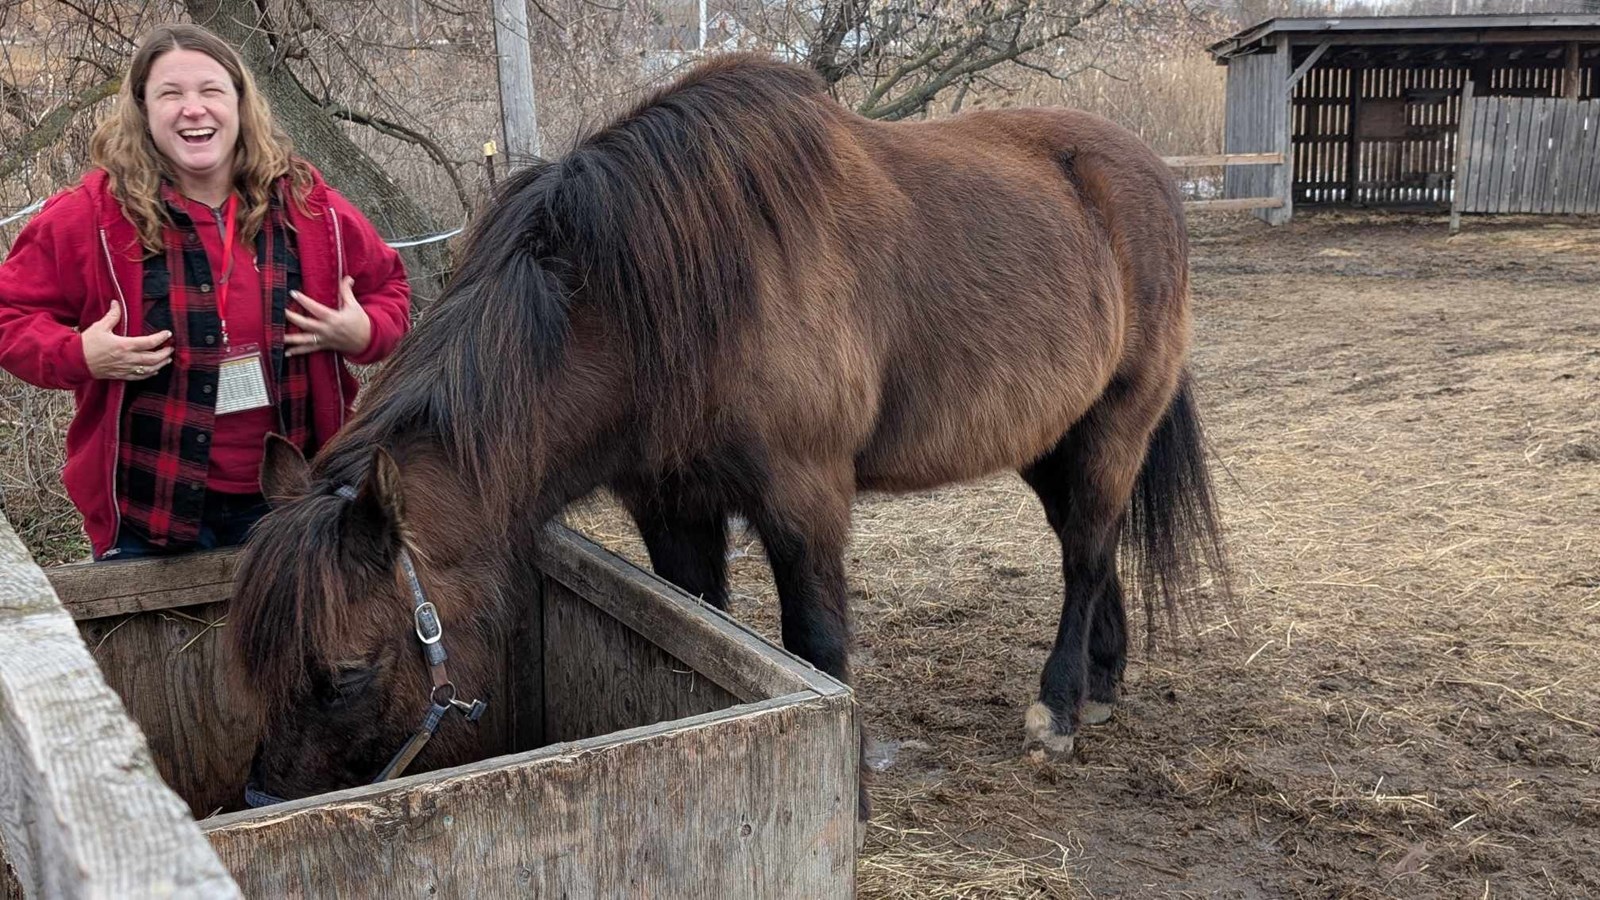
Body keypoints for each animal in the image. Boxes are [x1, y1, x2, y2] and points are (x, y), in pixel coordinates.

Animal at [231, 53, 1227, 818]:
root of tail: (1146, 174)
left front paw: (849, 798)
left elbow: (816, 644)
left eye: (346, 672)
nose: (262, 803)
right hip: (1054, 439)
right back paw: (1102, 684)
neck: (652, 301)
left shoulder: (804, 498)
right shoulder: (672, 505)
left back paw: (1057, 712)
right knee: (1092, 544)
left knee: (1086, 555)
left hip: (1115, 423)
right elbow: (703, 625)